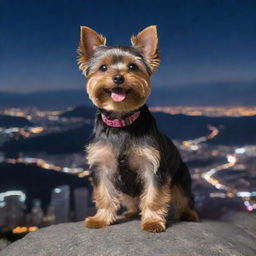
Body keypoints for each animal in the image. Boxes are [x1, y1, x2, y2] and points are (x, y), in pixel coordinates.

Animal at [77, 25, 199, 232]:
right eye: (103, 67)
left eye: (132, 67)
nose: (118, 77)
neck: (122, 123)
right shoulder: (101, 166)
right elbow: (104, 194)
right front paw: (100, 219)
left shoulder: (153, 168)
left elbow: (153, 197)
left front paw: (152, 221)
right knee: (132, 201)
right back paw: (132, 212)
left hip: (181, 177)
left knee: (183, 197)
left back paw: (188, 214)